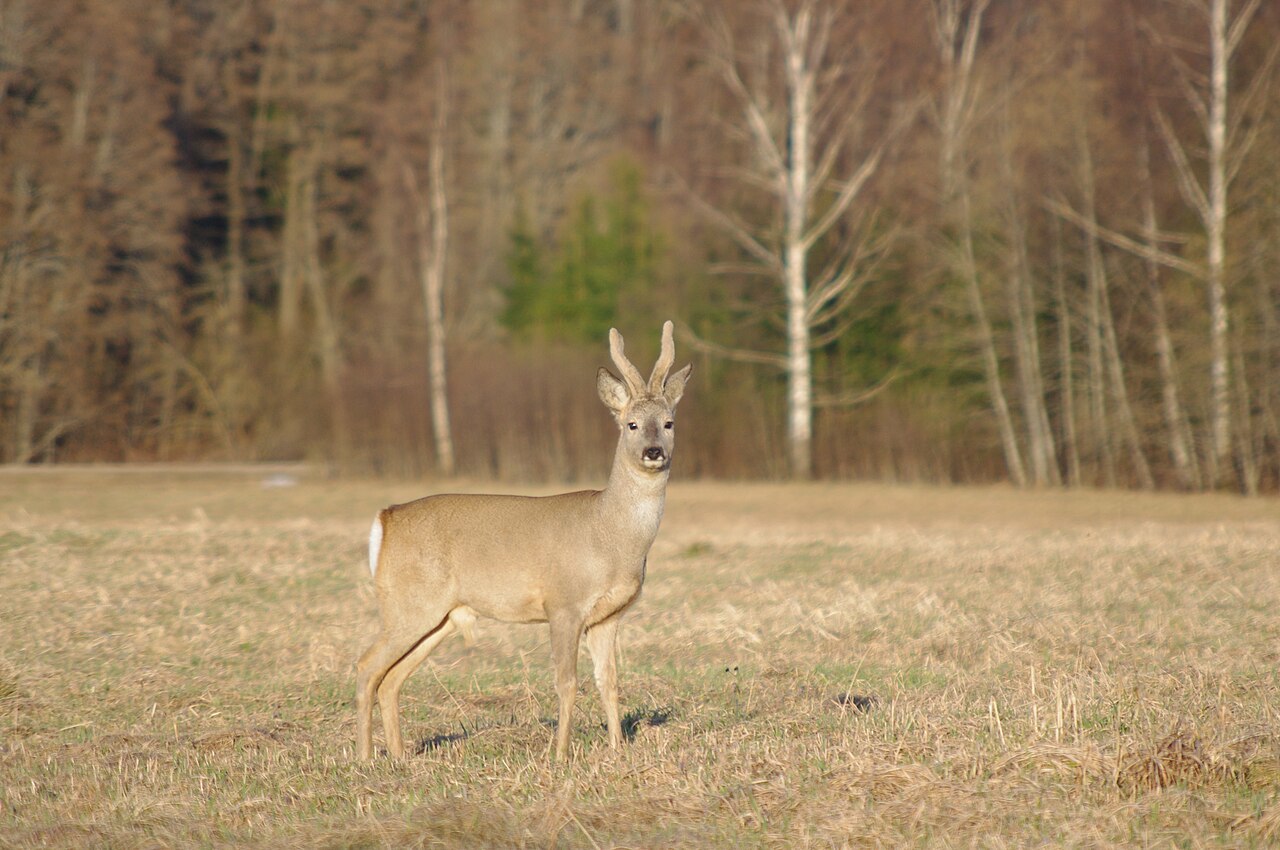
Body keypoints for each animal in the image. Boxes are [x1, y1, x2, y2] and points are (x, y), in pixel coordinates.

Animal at [355, 318, 696, 757]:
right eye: (631, 424)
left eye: (669, 423)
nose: (654, 451)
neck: (610, 535)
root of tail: (385, 519)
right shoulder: (563, 603)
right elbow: (567, 682)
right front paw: (561, 754)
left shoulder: (609, 616)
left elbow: (610, 682)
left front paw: (618, 750)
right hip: (408, 604)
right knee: (367, 666)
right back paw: (365, 759)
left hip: (439, 616)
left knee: (392, 678)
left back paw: (399, 757)